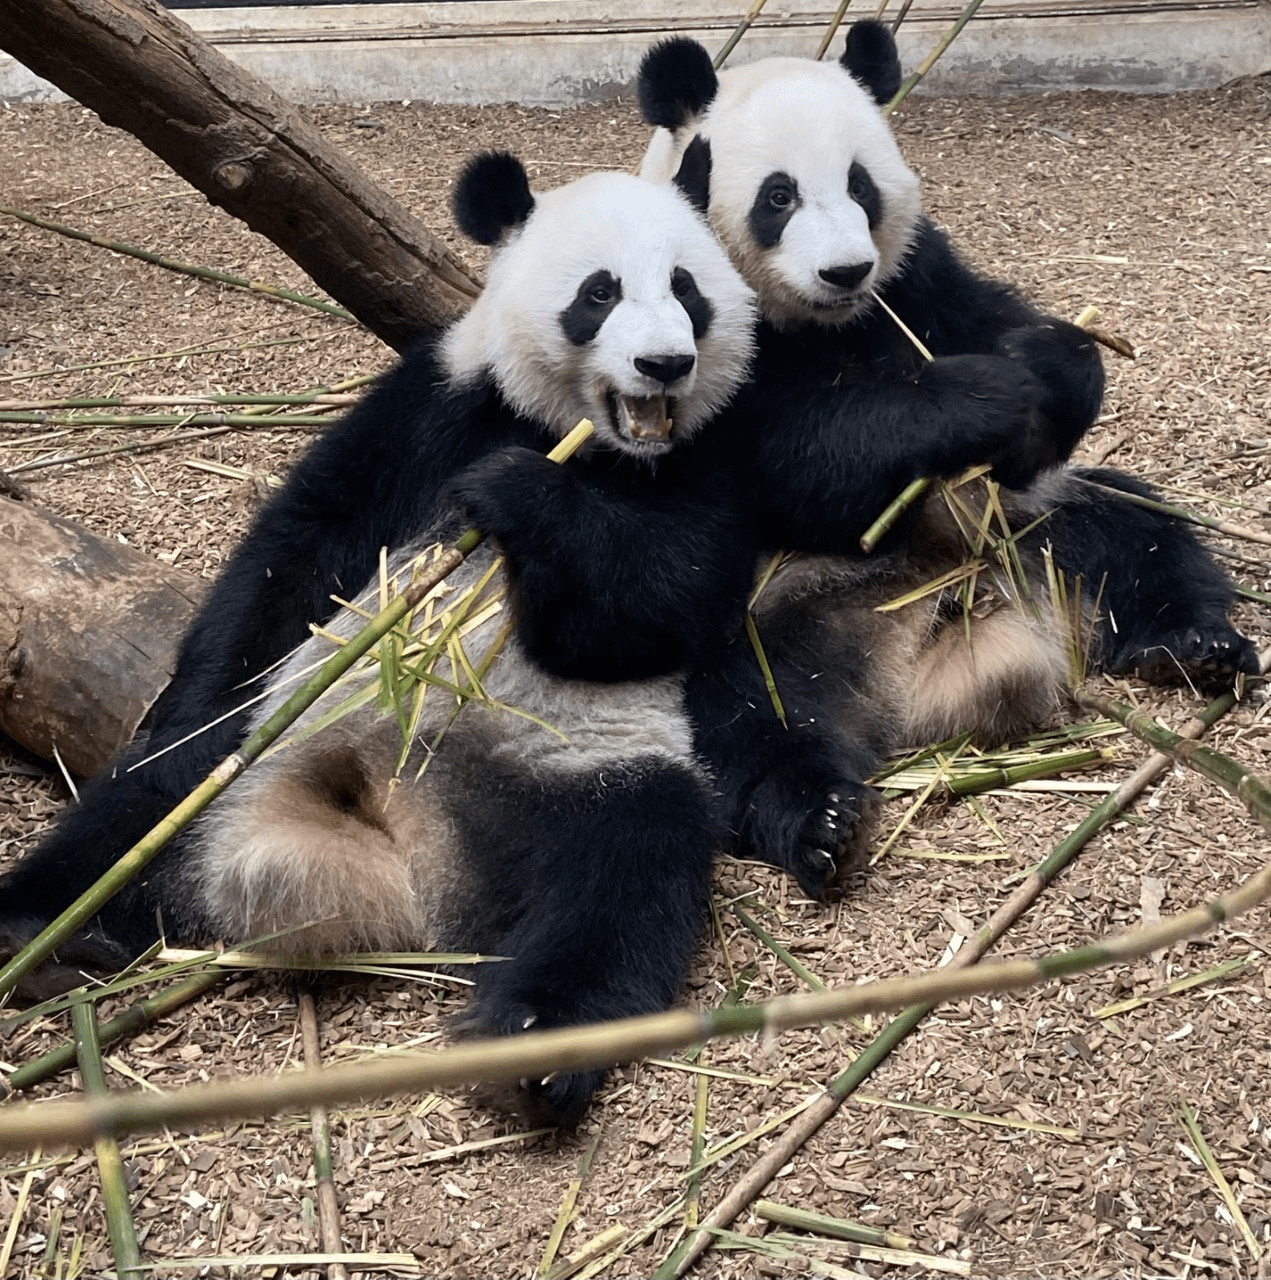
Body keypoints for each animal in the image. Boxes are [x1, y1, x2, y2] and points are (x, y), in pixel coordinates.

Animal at [0, 155, 758, 1122]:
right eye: (600, 292)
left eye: (687, 288)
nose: (665, 364)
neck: (580, 438)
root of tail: (407, 847)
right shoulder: (431, 403)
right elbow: (300, 550)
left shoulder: (713, 458)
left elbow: (665, 592)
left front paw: (518, 496)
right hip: (253, 758)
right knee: (138, 807)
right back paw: (37, 936)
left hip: (583, 764)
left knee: (626, 865)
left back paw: (529, 1046)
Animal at [635, 21, 1260, 898]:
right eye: (777, 196)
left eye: (860, 185)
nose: (844, 271)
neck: (825, 322)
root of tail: (921, 658)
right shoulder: (692, 328)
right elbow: (795, 457)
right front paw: (978, 396)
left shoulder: (916, 271)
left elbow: (991, 320)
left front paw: (1047, 363)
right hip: (763, 611)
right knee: (738, 712)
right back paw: (818, 820)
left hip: (1032, 528)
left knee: (1137, 535)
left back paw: (1194, 647)